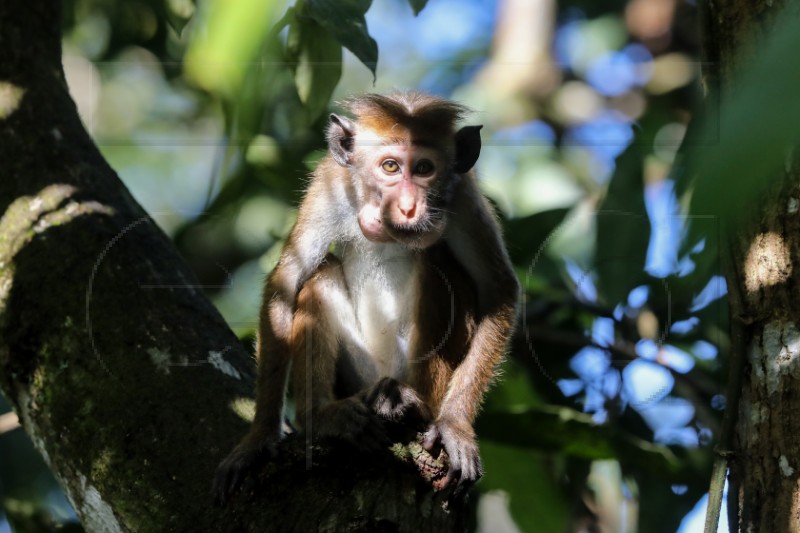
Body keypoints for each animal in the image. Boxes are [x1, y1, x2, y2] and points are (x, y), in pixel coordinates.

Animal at [214, 89, 520, 500]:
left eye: (424, 169)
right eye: (390, 167)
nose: (408, 206)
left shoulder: (464, 195)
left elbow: (498, 290)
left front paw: (455, 426)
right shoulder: (329, 181)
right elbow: (288, 281)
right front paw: (259, 439)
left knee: (438, 265)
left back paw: (411, 405)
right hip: (361, 371)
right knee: (320, 273)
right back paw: (328, 414)